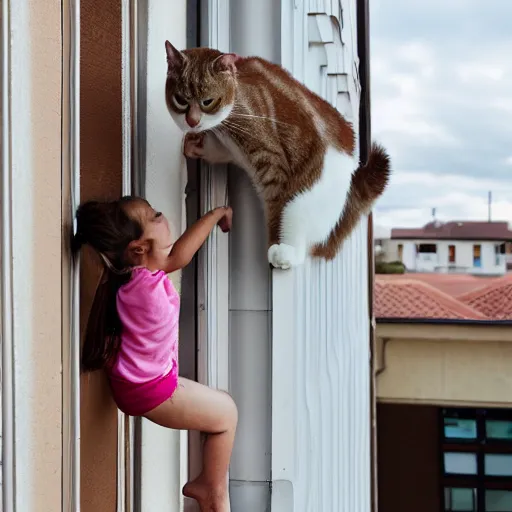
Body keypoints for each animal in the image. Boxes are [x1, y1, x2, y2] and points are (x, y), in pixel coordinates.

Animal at [166, 42, 390, 270]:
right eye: (180, 100)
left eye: (208, 101)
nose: (192, 121)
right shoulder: (227, 147)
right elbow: (216, 150)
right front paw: (194, 145)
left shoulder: (270, 158)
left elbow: (274, 204)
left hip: (301, 201)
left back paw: (286, 252)